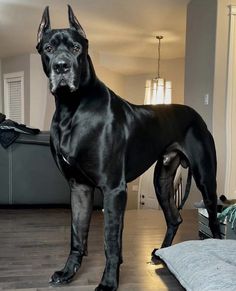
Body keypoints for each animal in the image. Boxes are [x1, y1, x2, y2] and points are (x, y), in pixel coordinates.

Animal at [36, 6, 220, 291]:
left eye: (76, 48)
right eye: (48, 48)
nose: (61, 66)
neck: (72, 108)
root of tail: (196, 115)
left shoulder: (113, 189)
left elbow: (111, 241)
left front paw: (109, 281)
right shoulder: (79, 188)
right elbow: (77, 235)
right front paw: (68, 273)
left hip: (205, 177)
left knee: (212, 214)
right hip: (162, 179)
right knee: (174, 218)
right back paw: (162, 254)